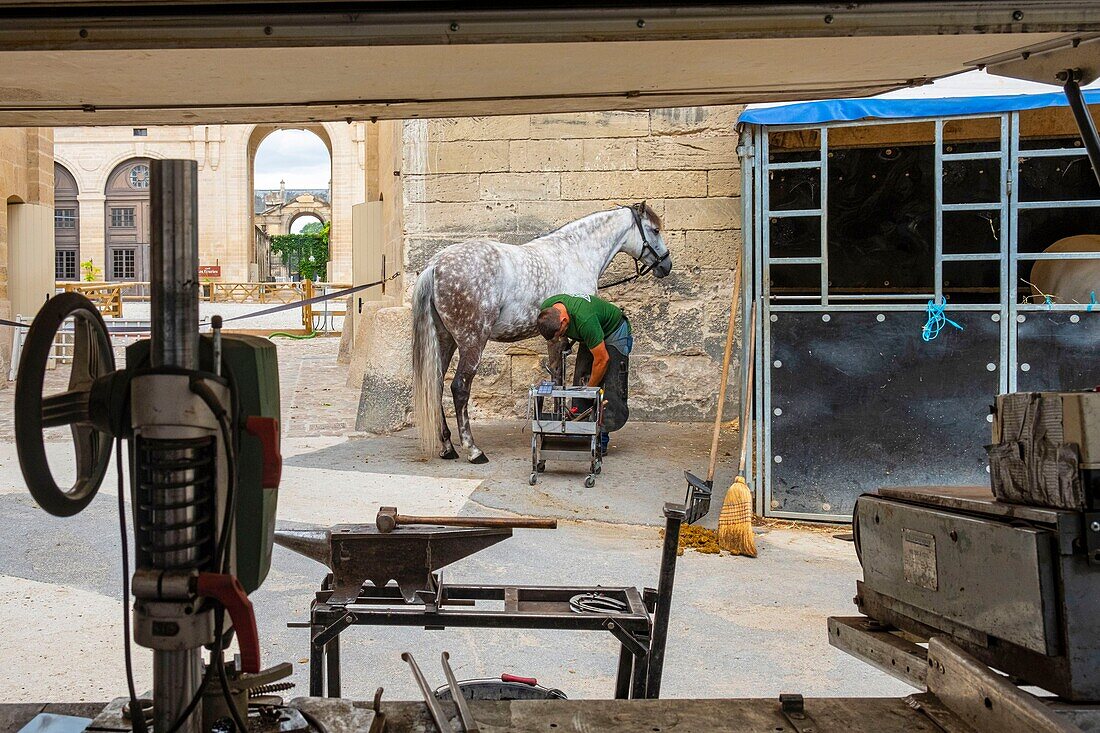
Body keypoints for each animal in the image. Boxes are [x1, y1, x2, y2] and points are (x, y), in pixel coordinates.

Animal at [413, 202, 668, 460]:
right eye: (655, 230)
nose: (666, 265)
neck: (575, 254)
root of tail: (435, 265)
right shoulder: (564, 334)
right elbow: (559, 378)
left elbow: (556, 377)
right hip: (472, 341)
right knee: (459, 388)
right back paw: (473, 450)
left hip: (445, 341)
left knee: (436, 386)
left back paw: (447, 446)